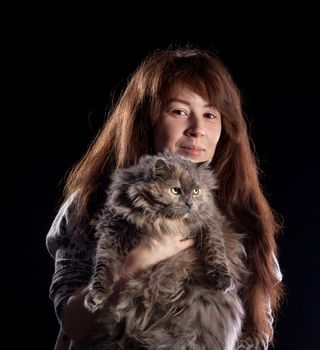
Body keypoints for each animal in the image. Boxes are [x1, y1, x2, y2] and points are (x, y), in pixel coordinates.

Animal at [84, 153, 248, 350]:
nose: (189, 204)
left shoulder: (209, 224)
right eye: (175, 190)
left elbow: (216, 252)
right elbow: (104, 267)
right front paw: (96, 297)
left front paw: (223, 280)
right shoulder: (113, 230)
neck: (160, 219)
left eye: (196, 191)